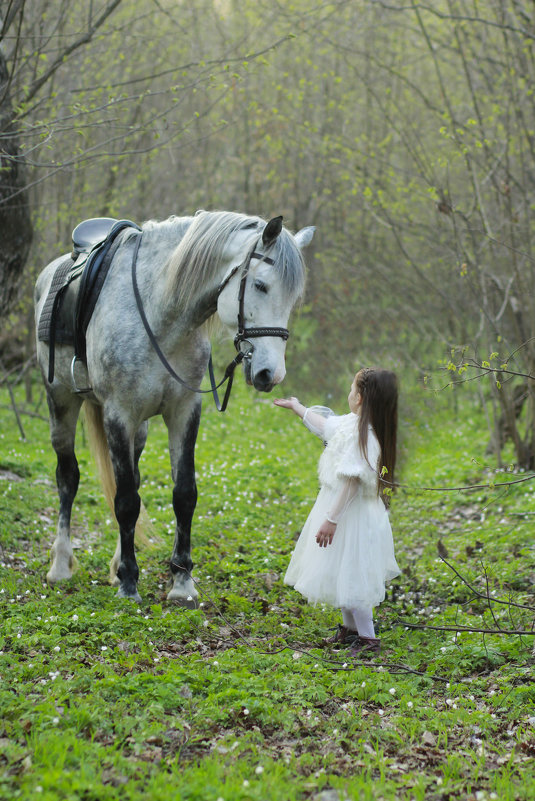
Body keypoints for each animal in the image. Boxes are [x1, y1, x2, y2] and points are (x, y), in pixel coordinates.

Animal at [35, 209, 314, 604]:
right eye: (260, 285)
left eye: (292, 299)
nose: (269, 374)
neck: (161, 315)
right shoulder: (118, 414)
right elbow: (125, 500)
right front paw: (129, 583)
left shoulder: (183, 412)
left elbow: (182, 494)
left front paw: (181, 581)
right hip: (60, 402)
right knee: (67, 478)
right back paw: (61, 564)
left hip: (140, 429)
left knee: (130, 479)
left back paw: (116, 563)